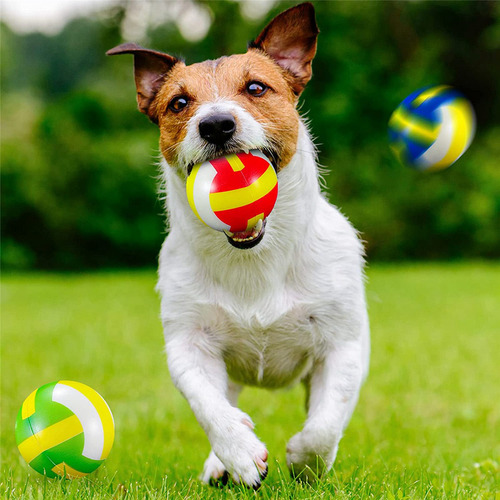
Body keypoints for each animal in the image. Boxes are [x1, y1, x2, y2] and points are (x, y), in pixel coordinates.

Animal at [108, 2, 368, 488]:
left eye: (256, 87)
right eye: (179, 103)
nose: (215, 124)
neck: (254, 257)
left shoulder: (343, 345)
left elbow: (325, 423)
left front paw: (305, 460)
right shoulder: (188, 343)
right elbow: (208, 405)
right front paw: (239, 452)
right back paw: (221, 462)